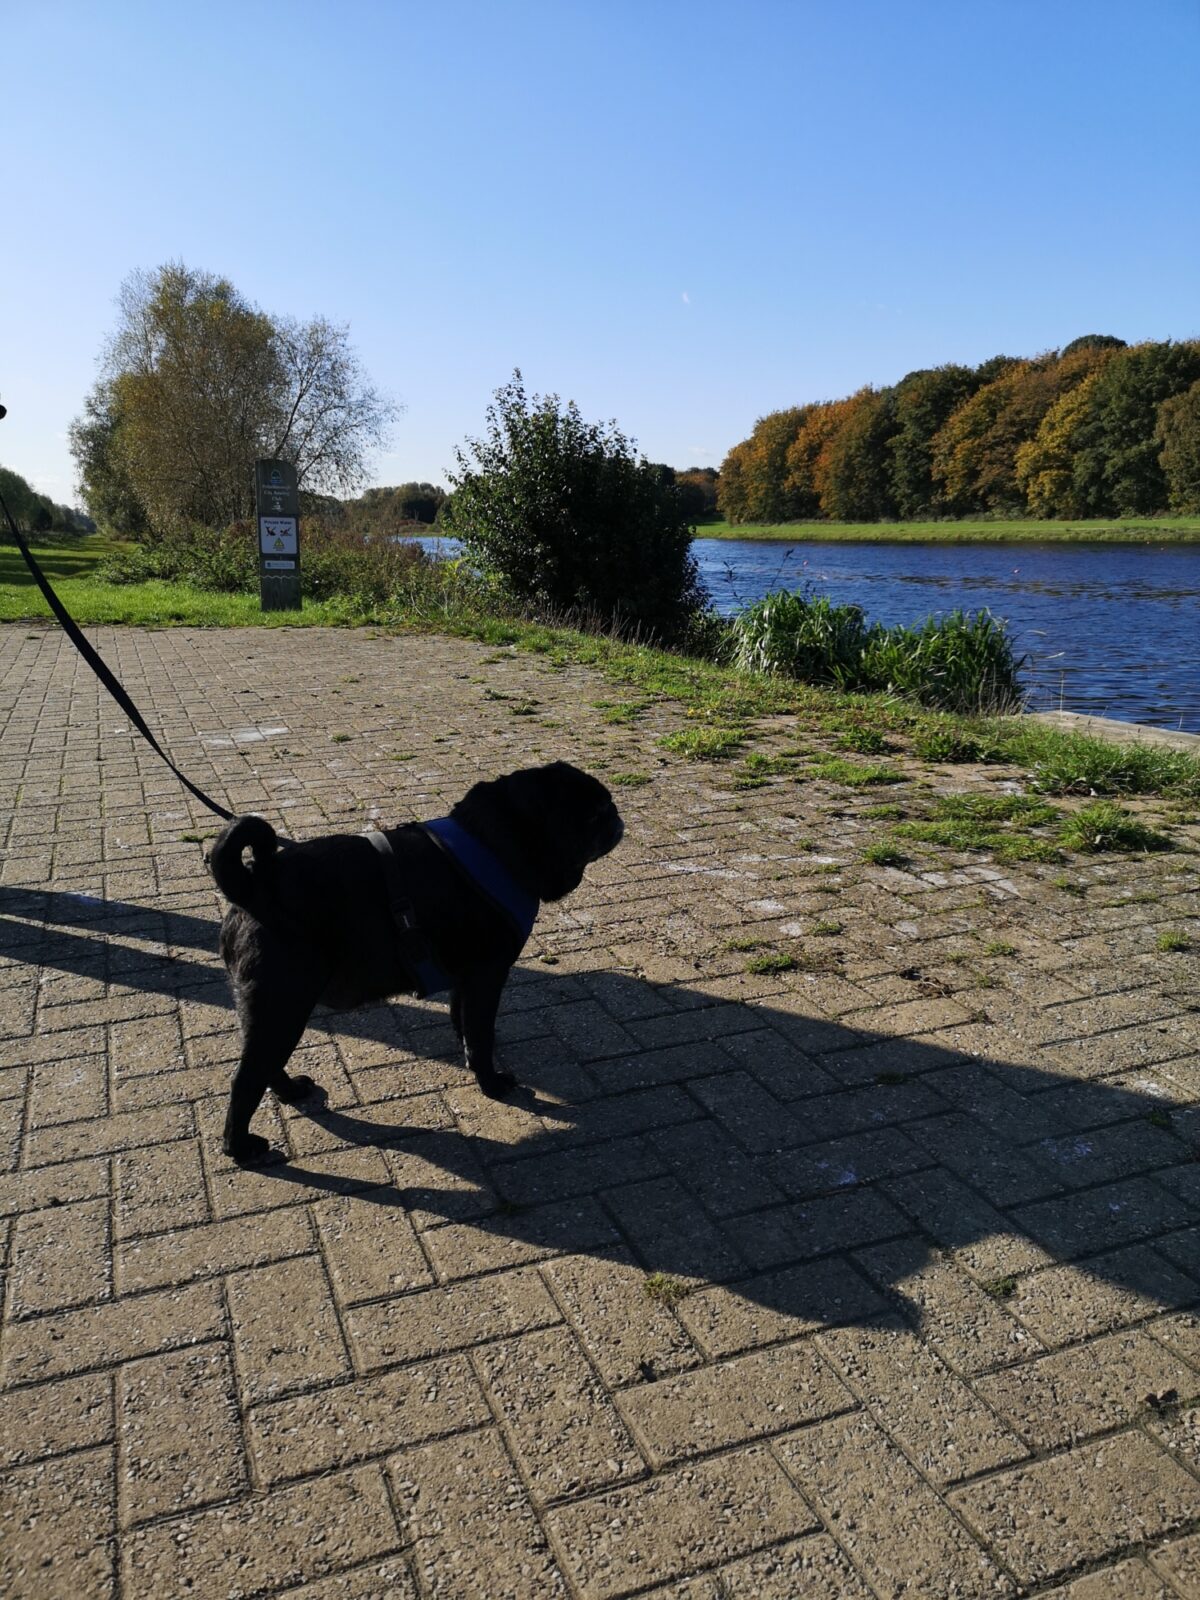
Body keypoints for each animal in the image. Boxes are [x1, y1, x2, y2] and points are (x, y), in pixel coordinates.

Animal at [209, 761, 624, 1164]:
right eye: (595, 813)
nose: (617, 816)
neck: (495, 845)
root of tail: (253, 889)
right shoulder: (487, 975)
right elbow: (481, 1032)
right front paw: (490, 1082)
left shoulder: (465, 979)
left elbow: (464, 1022)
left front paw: (469, 1054)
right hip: (284, 1004)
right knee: (246, 1079)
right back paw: (240, 1147)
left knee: (266, 1066)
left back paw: (291, 1092)